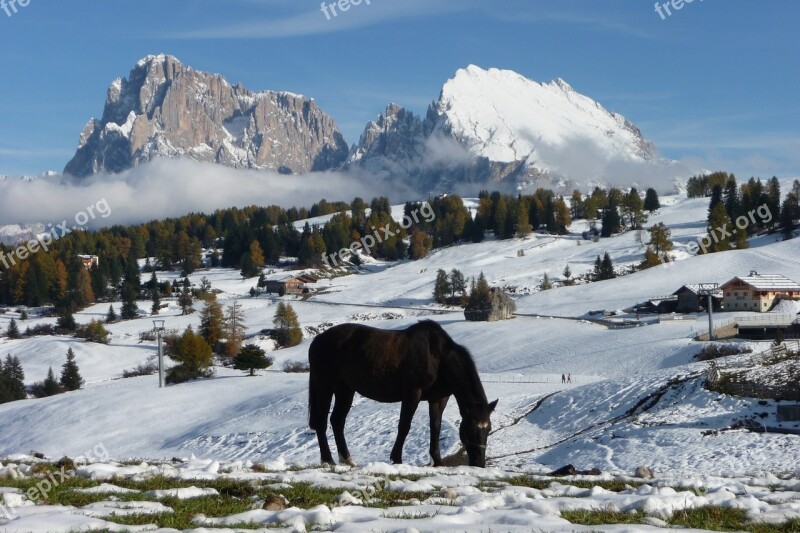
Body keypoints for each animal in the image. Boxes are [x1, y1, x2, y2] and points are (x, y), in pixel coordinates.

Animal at [310, 320, 496, 466]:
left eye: (488, 429)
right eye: (470, 429)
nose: (479, 464)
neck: (437, 357)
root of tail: (319, 340)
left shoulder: (438, 399)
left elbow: (435, 427)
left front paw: (437, 461)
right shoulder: (412, 394)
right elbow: (404, 426)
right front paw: (396, 459)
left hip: (345, 389)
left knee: (337, 421)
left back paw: (347, 460)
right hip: (325, 386)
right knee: (321, 422)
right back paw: (328, 460)